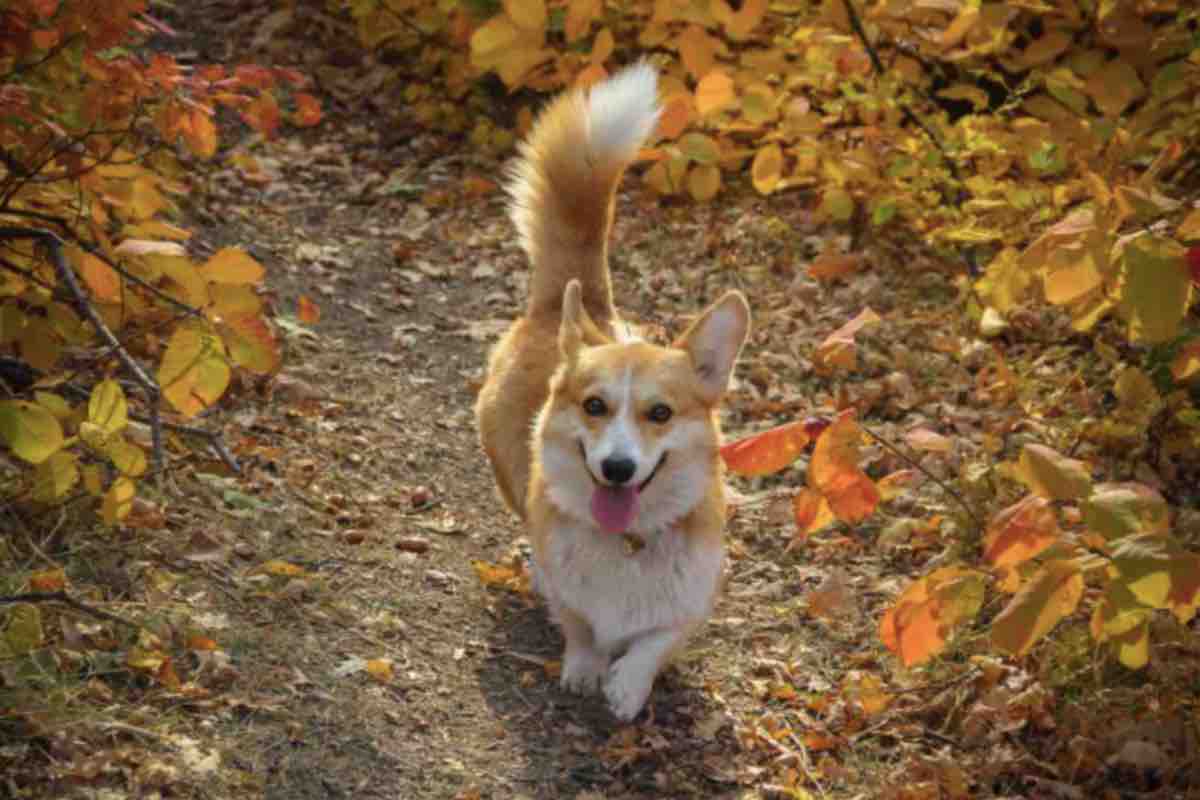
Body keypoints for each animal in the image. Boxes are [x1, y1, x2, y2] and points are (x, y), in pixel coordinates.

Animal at [475, 62, 748, 724]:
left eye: (660, 413)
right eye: (594, 406)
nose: (618, 469)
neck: (627, 542)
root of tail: (573, 306)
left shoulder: (692, 601)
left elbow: (655, 641)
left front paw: (627, 685)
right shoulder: (572, 592)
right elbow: (579, 623)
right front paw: (586, 667)